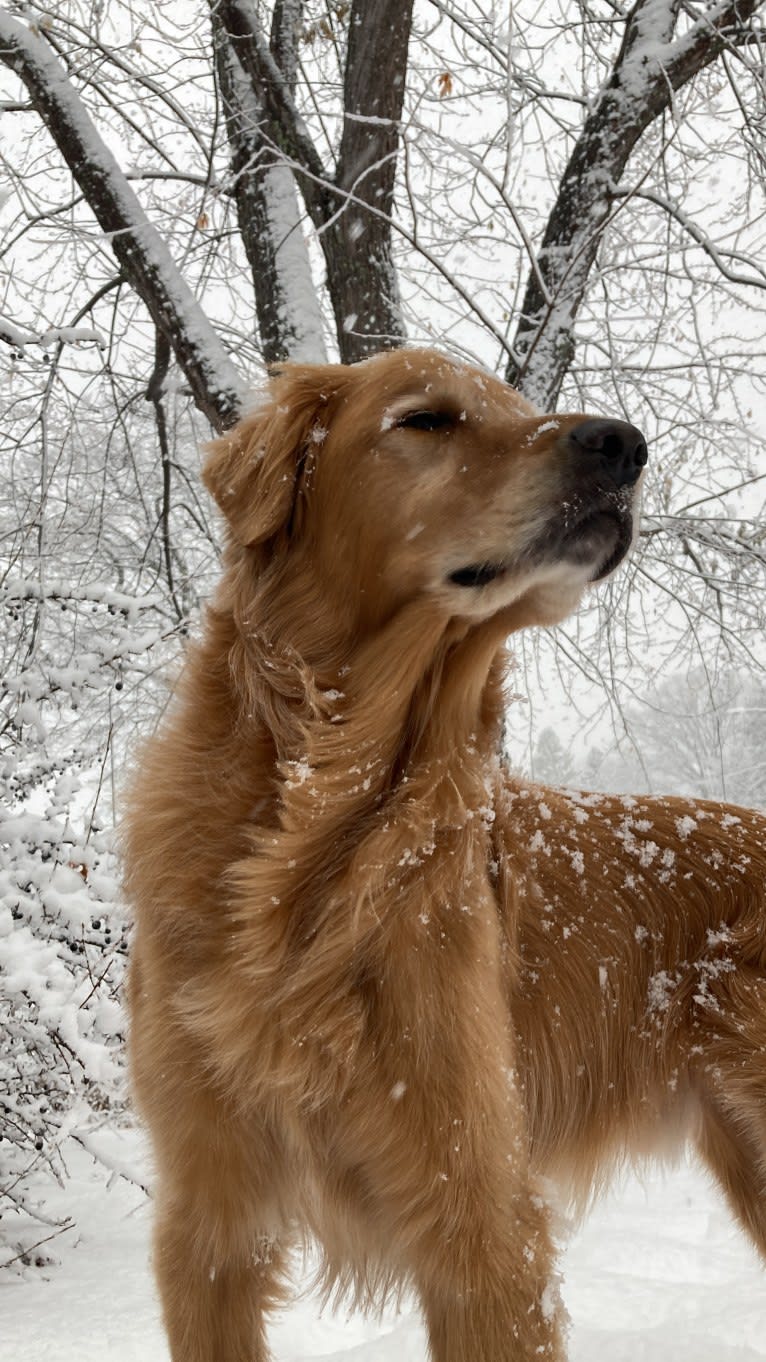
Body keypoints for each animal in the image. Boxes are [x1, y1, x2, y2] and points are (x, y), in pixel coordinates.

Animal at [124, 345, 763, 1356]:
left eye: (519, 406)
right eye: (425, 418)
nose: (625, 446)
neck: (327, 834)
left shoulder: (478, 1213)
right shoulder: (209, 1221)